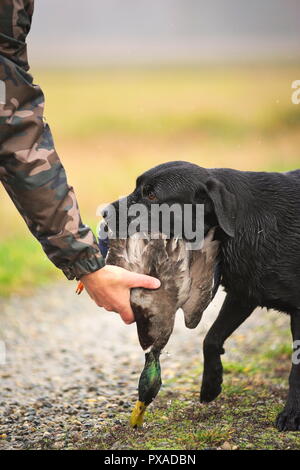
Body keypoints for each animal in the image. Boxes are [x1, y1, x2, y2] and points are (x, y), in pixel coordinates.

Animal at [105, 161, 300, 430]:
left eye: (152, 195)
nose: (104, 213)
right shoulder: (243, 294)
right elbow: (211, 338)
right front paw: (211, 384)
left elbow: (297, 369)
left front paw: (291, 413)